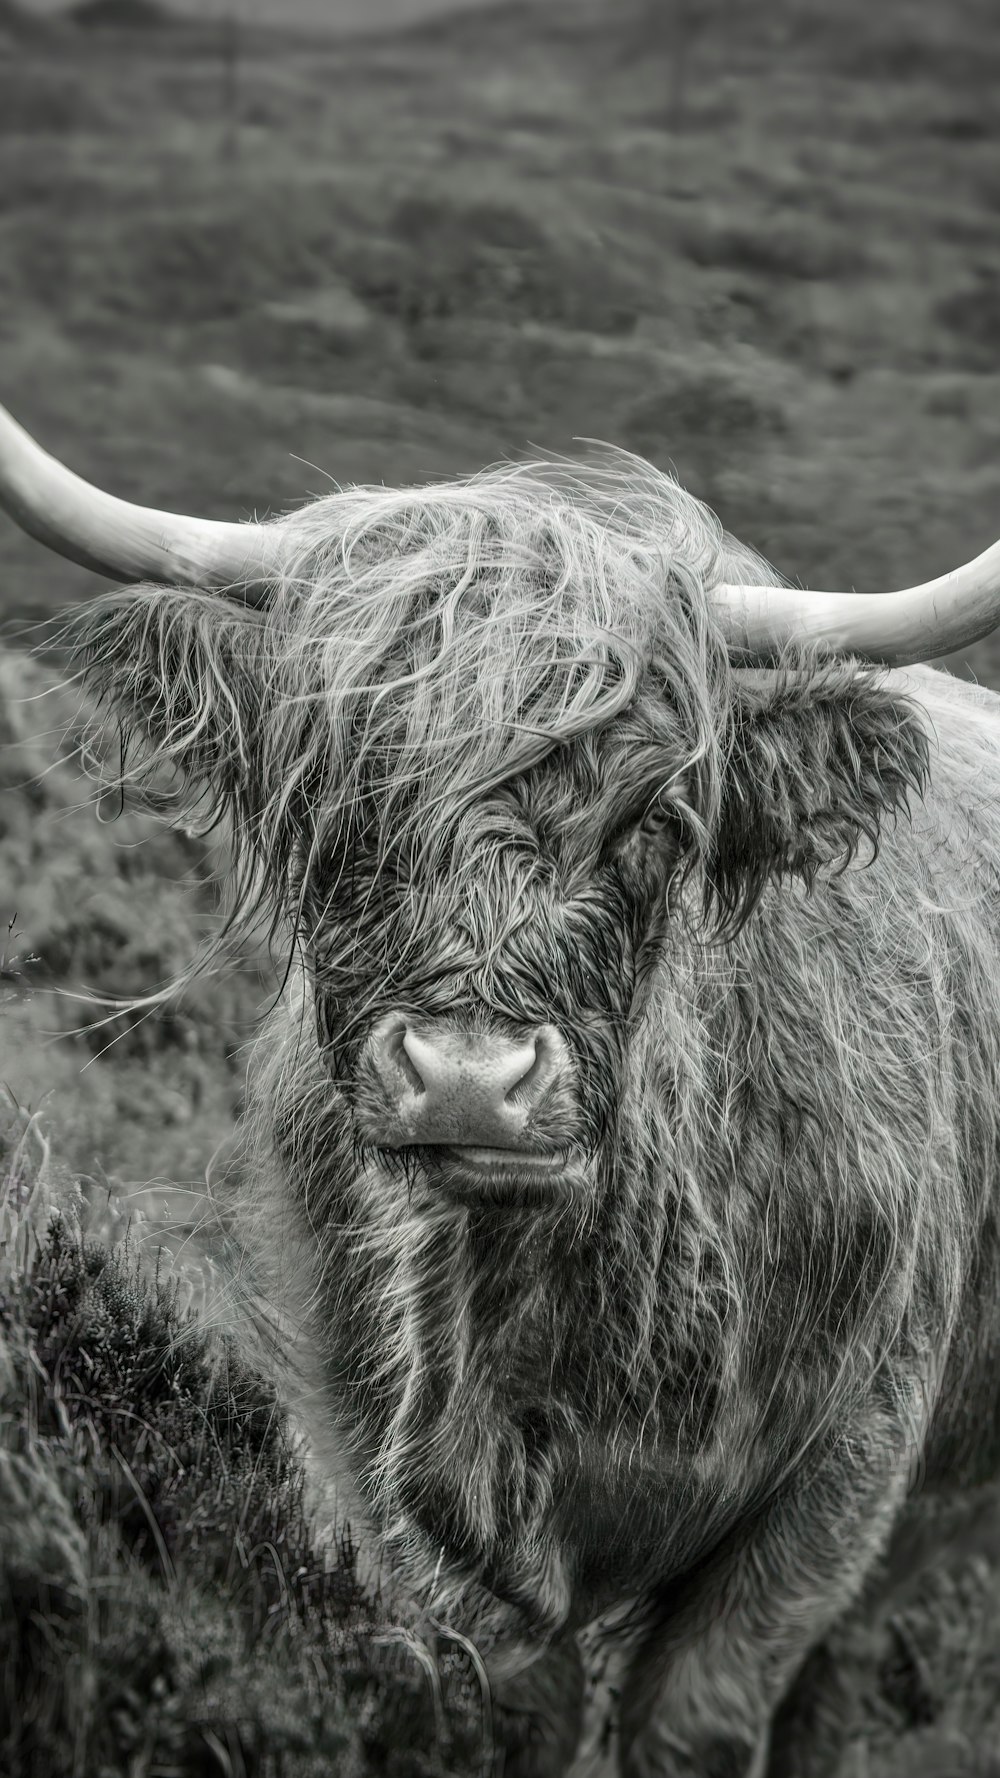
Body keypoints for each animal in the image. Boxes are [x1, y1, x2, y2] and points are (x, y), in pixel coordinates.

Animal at [5, 403, 996, 1778]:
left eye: (655, 819)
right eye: (335, 799)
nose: (469, 1081)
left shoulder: (849, 1462)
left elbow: (703, 1709)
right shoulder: (374, 1454)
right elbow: (510, 1700)